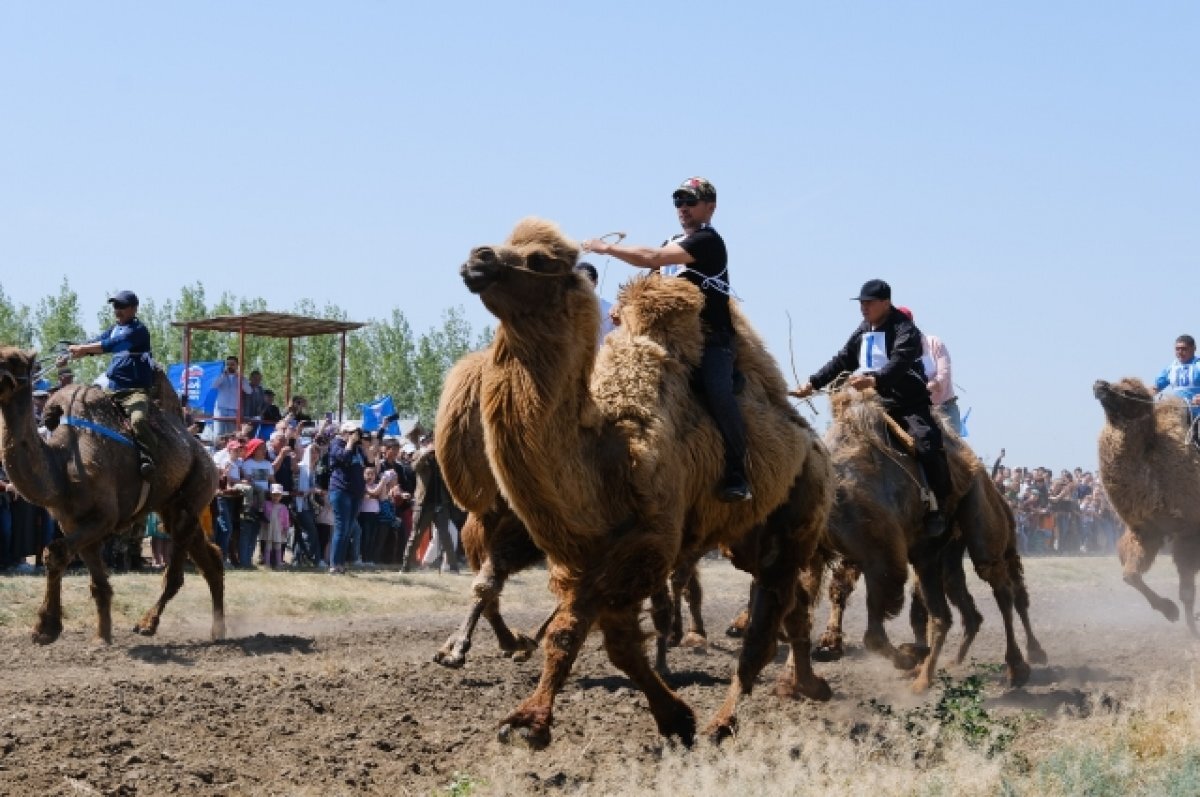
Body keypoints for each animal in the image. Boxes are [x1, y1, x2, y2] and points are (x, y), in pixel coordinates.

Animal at [0, 345, 225, 643]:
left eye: (14, 360)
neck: (62, 461)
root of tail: (207, 455)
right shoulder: (72, 522)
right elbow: (94, 581)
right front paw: (101, 636)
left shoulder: (104, 518)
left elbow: (56, 553)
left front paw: (44, 629)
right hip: (174, 506)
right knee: (211, 558)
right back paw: (218, 630)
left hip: (194, 492)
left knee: (176, 574)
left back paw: (147, 624)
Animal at [458, 218, 835, 748]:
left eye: (540, 259)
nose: (479, 257)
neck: (607, 456)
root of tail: (816, 448)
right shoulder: (586, 555)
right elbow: (592, 640)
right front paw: (671, 719)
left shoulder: (642, 548)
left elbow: (594, 636)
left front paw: (531, 722)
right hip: (749, 537)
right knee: (793, 606)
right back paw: (804, 685)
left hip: (797, 516)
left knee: (766, 624)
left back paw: (724, 722)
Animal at [801, 388, 1046, 686]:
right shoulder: (827, 555)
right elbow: (825, 596)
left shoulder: (882, 556)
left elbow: (876, 630)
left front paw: (909, 657)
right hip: (947, 551)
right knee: (967, 600)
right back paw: (954, 660)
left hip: (986, 523)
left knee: (1004, 587)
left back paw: (1021, 662)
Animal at [1094, 379, 1200, 633]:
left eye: (1129, 391)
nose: (1100, 384)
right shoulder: (1146, 531)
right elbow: (1130, 575)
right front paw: (1169, 611)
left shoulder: (1190, 532)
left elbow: (1187, 591)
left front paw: (1193, 630)